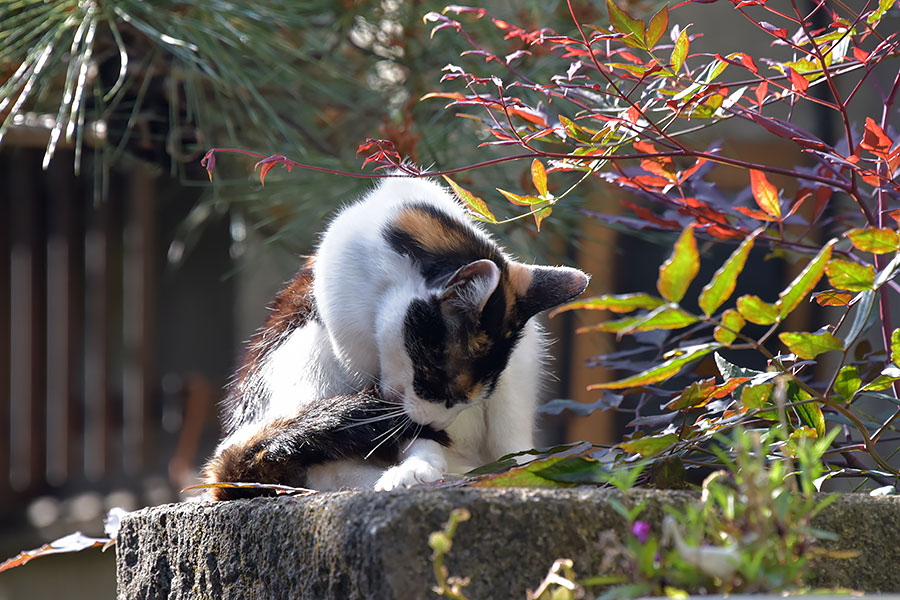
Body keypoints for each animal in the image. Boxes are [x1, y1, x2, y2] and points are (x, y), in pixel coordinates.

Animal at [200, 176, 588, 500]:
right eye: (433, 376)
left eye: (475, 394)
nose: (439, 425)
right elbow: (399, 431)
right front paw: (416, 466)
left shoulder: (519, 366)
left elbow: (509, 431)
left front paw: (518, 471)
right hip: (300, 353)